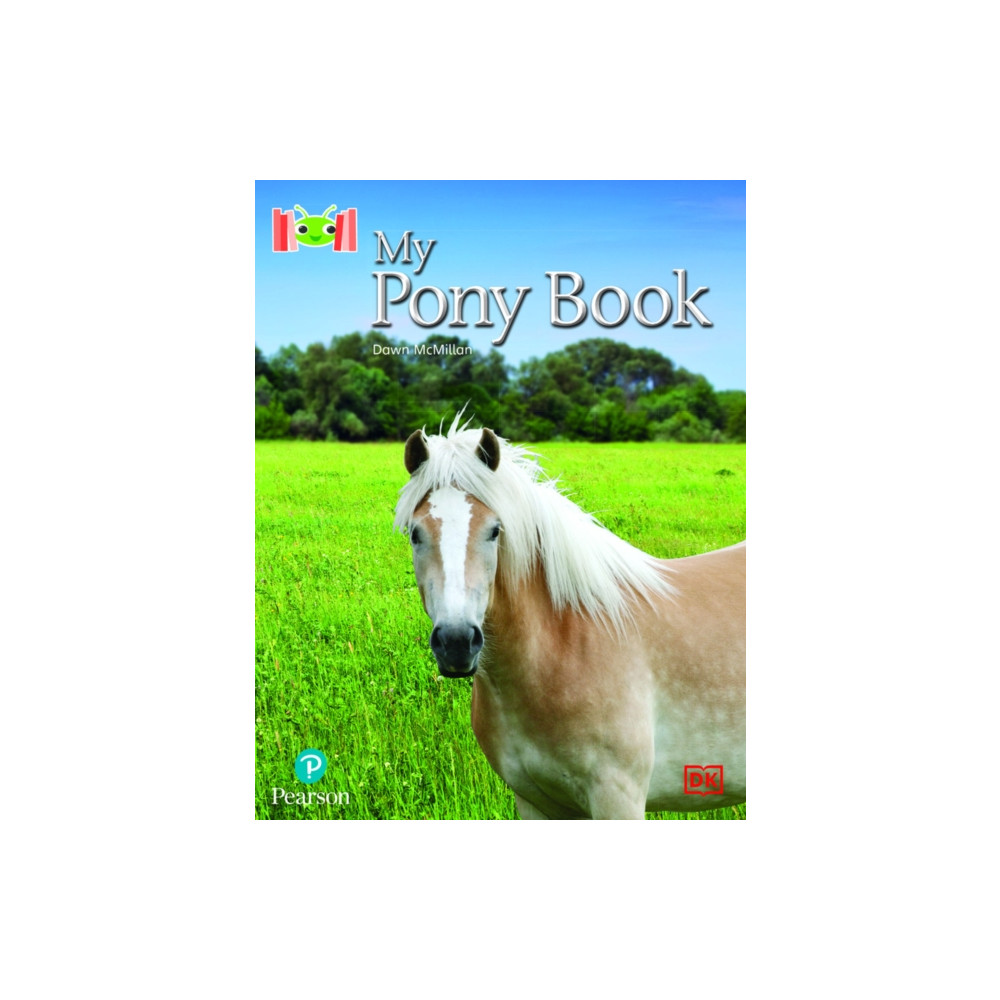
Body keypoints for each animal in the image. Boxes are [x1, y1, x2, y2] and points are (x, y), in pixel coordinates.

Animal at [394, 416, 745, 819]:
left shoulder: (618, 798)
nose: (456, 643)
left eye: (494, 531)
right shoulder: (535, 802)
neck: (563, 646)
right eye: (416, 534)